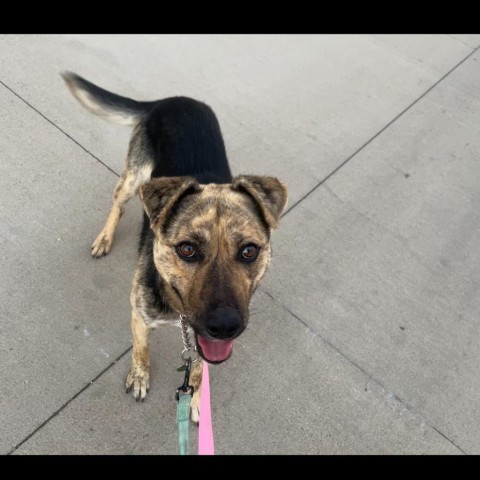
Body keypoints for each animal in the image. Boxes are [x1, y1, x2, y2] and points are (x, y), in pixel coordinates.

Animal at [62, 73, 288, 422]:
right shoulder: (140, 316)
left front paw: (196, 398)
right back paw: (105, 237)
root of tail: (170, 100)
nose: (225, 327)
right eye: (187, 249)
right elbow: (141, 349)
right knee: (119, 203)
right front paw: (140, 376)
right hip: (135, 178)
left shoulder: (202, 344)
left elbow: (197, 368)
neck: (177, 311)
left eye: (249, 251)